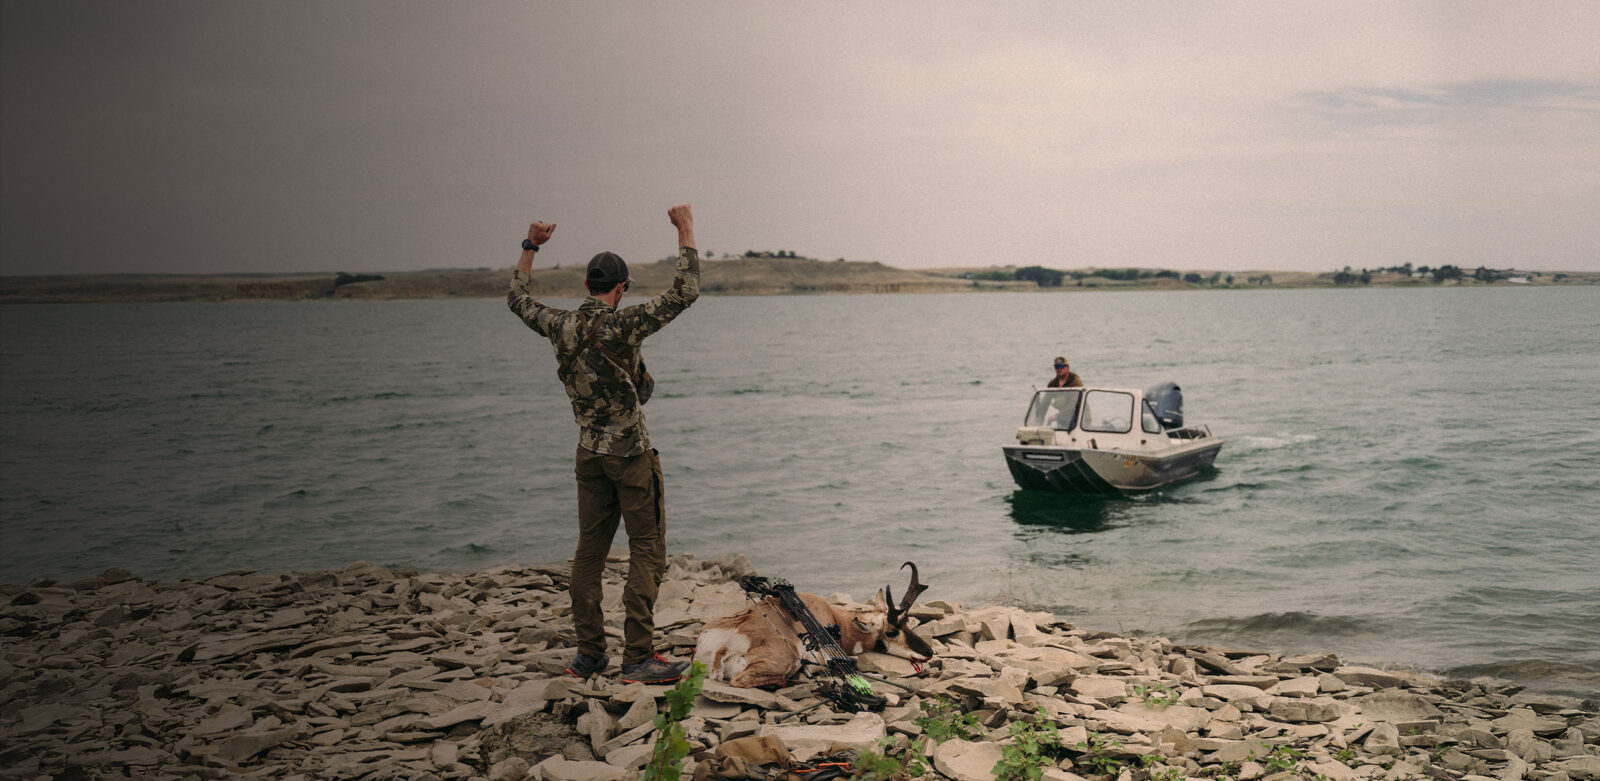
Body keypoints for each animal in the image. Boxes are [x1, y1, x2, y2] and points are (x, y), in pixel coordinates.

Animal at [693, 562, 934, 689]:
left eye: (907, 622)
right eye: (891, 631)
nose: (929, 652)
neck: (835, 619)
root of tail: (722, 645)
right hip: (784, 660)